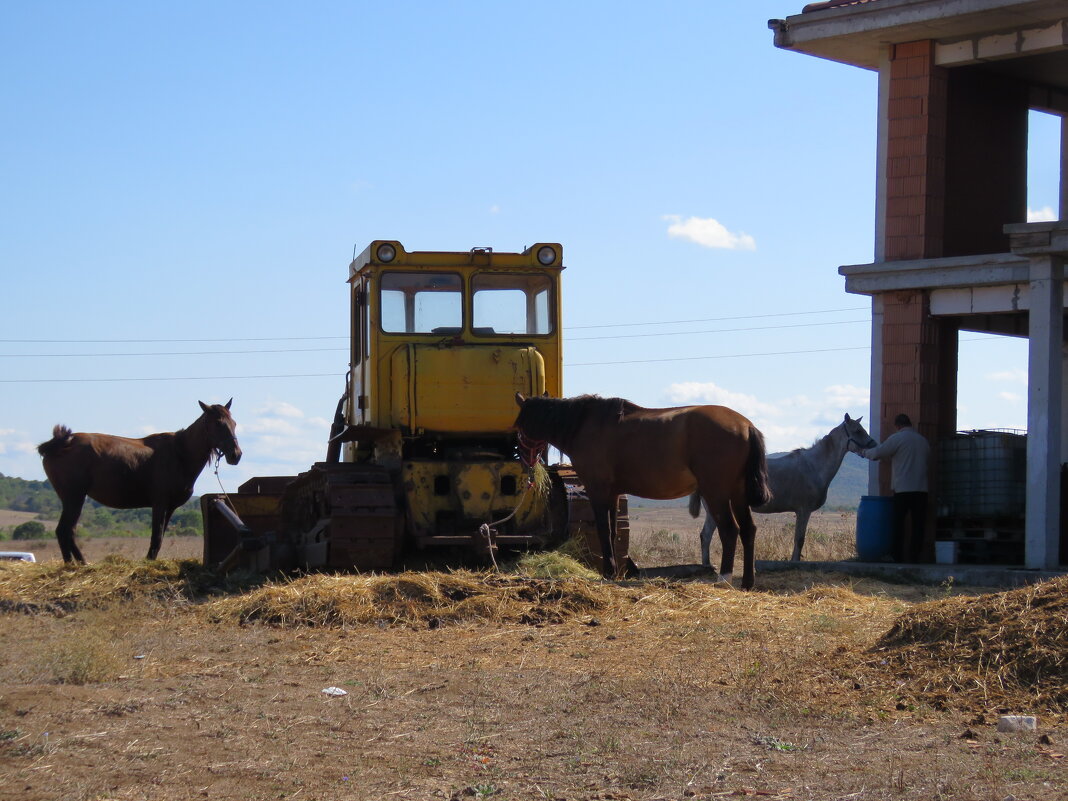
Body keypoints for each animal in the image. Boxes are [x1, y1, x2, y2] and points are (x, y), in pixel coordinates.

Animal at [38, 401, 242, 563]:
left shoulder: (170, 507)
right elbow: (156, 537)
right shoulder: (159, 503)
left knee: (67, 532)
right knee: (64, 531)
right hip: (74, 497)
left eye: (234, 423)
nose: (236, 455)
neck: (180, 453)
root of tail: (60, 443)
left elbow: (160, 537)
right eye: (218, 423)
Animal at [514, 395, 773, 589]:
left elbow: (603, 530)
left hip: (716, 492)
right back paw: (747, 582)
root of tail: (745, 425)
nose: (523, 460)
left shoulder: (597, 490)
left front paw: (608, 571)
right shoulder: (613, 494)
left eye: (518, 425)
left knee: (730, 530)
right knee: (748, 530)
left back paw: (724, 579)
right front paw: (615, 571)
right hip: (737, 493)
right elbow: (613, 532)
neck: (586, 424)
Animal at [687, 414, 871, 563]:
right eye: (857, 431)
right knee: (708, 535)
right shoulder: (803, 510)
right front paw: (795, 562)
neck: (813, 466)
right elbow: (799, 539)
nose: (873, 444)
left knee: (706, 535)